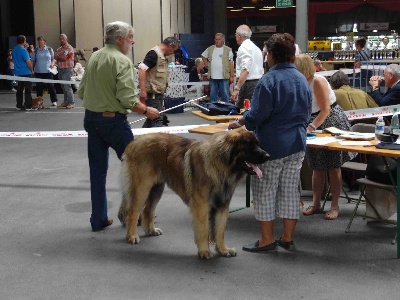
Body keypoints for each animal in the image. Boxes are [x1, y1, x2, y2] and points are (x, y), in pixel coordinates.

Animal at [119, 127, 268, 258]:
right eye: (249, 147)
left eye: (258, 144)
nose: (268, 155)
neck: (221, 166)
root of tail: (133, 142)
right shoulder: (201, 206)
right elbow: (204, 229)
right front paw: (205, 251)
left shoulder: (222, 205)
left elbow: (220, 231)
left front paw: (223, 250)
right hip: (142, 188)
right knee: (133, 212)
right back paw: (132, 236)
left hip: (156, 189)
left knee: (148, 210)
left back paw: (151, 230)